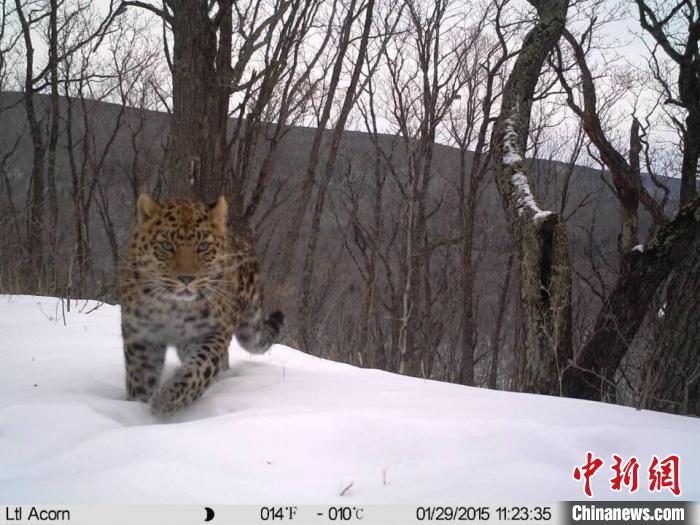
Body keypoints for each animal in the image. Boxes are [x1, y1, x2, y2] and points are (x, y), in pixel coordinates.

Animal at [119, 191, 284, 414]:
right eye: (167, 246)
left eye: (203, 247)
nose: (186, 278)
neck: (172, 307)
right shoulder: (142, 336)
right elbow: (141, 377)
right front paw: (137, 405)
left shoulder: (211, 332)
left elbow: (199, 369)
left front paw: (167, 398)